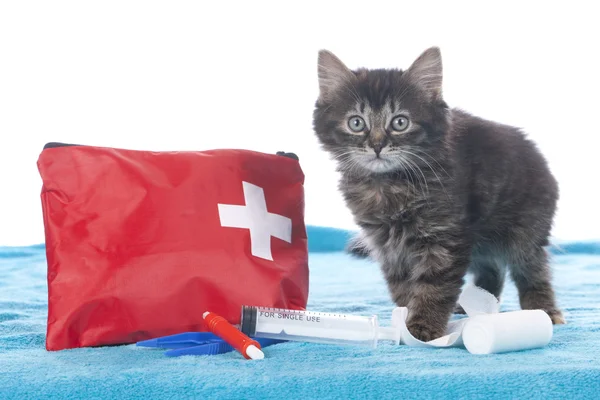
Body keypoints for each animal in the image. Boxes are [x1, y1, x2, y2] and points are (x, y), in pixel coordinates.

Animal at [312, 47, 564, 340]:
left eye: (400, 122)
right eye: (356, 123)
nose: (377, 146)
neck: (388, 185)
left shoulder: (443, 238)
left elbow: (434, 285)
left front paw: (422, 328)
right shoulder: (387, 245)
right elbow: (401, 285)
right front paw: (404, 318)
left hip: (525, 229)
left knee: (532, 269)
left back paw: (543, 310)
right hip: (481, 239)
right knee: (492, 269)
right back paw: (477, 304)